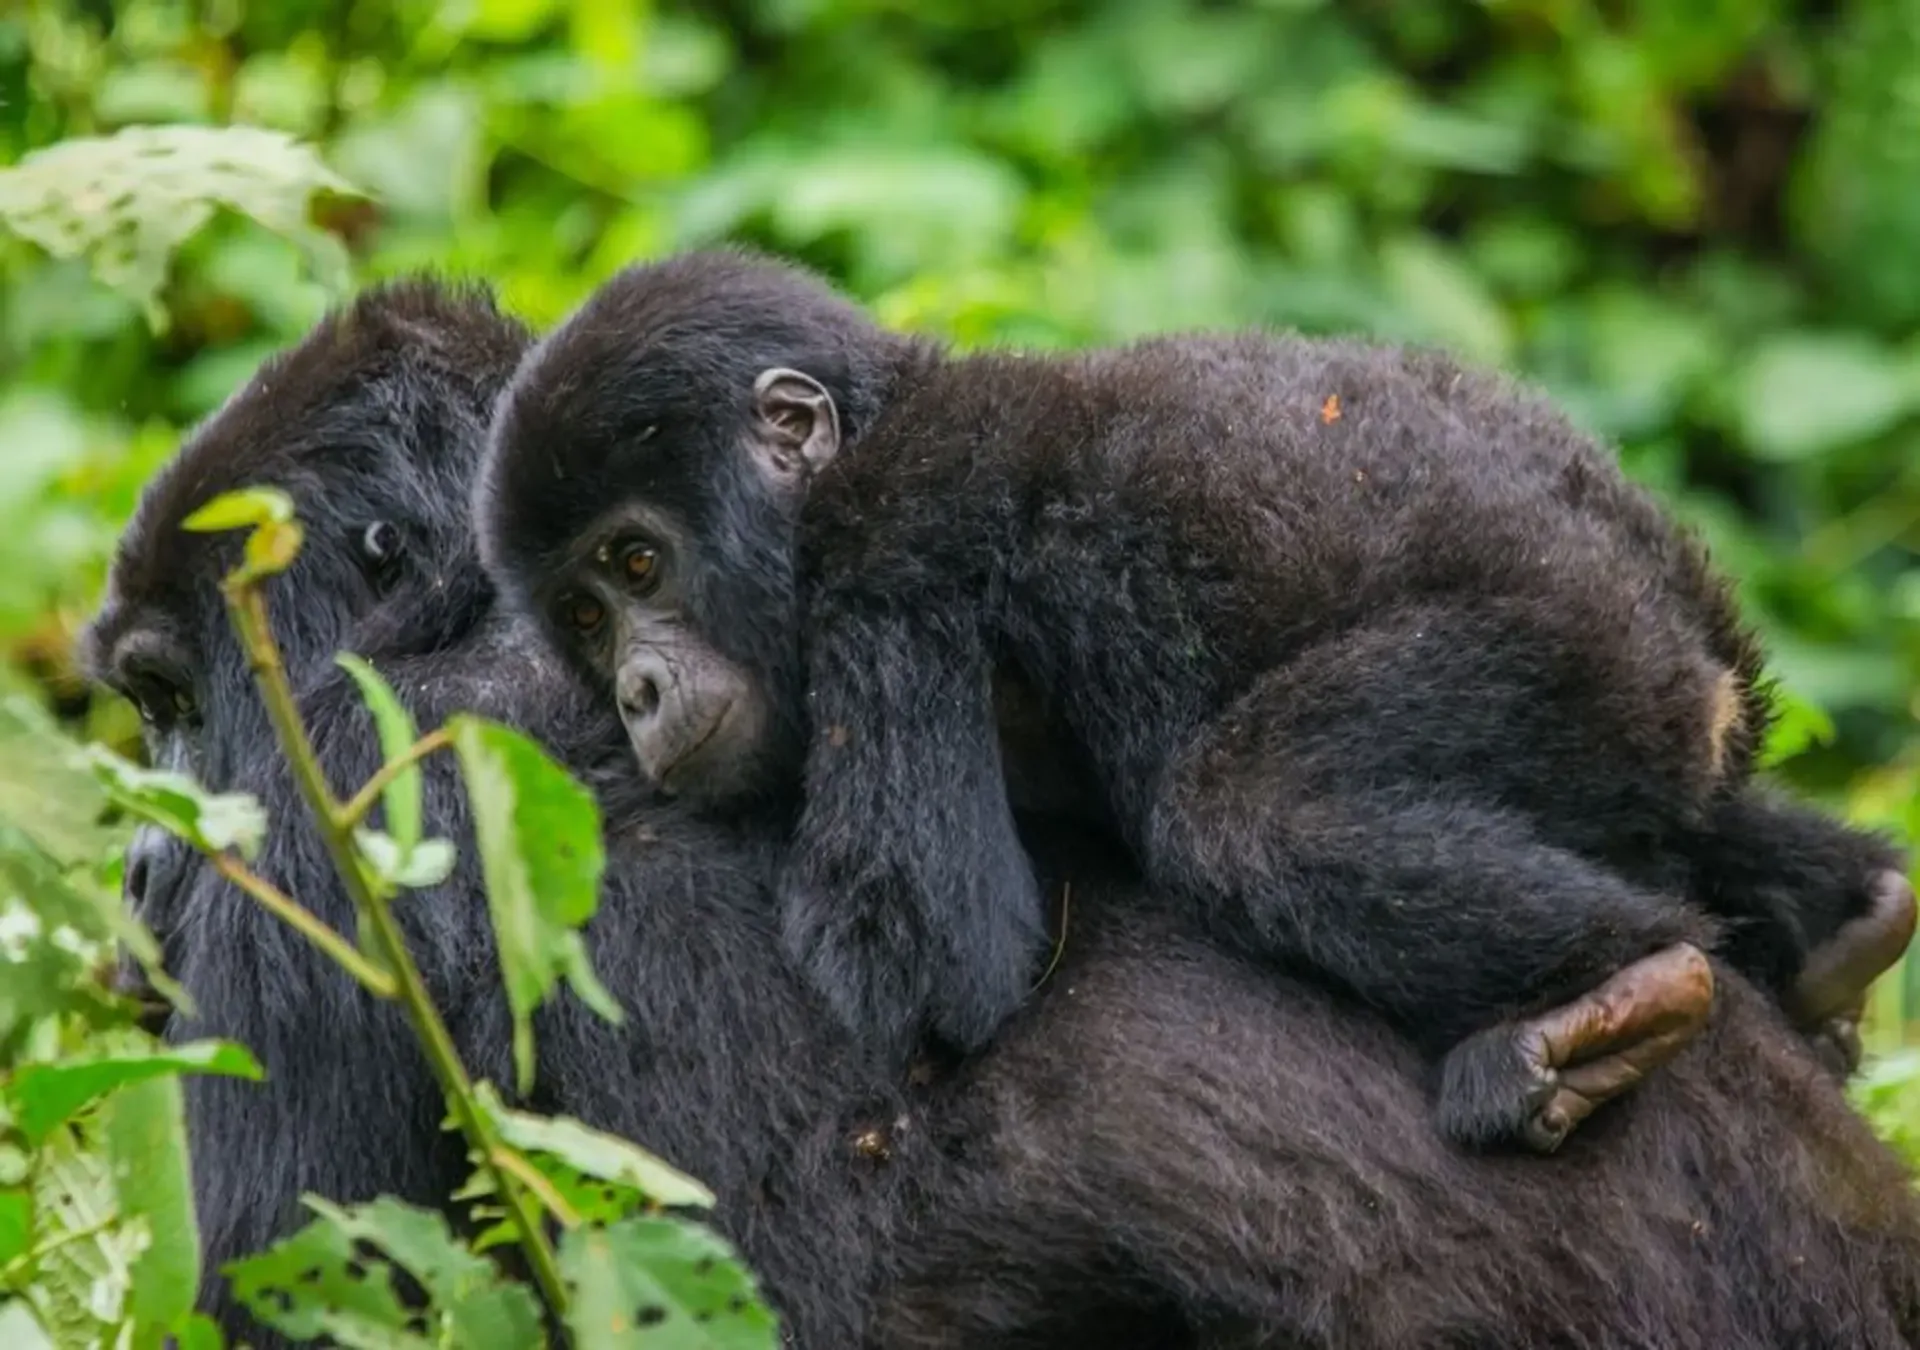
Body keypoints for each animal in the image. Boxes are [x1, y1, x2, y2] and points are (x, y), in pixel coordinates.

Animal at [474, 247, 1915, 1153]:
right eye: (585, 621)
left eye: (639, 562)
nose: (638, 687)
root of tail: (1702, 644)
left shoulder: (899, 525)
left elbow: (930, 964)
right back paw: (1843, 922)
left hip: (1589, 657)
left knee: (1252, 815)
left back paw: (1626, 989)